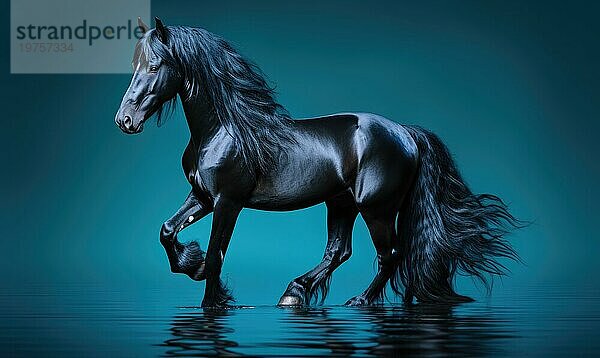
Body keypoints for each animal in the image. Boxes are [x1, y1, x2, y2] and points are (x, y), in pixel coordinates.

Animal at [115, 17, 516, 308]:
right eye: (135, 65)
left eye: (155, 67)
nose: (125, 121)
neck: (223, 131)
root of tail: (406, 133)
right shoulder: (202, 196)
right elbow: (167, 230)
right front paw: (192, 265)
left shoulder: (228, 202)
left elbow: (217, 253)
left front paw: (214, 302)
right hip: (341, 203)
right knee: (340, 251)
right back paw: (294, 293)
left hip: (377, 208)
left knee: (391, 254)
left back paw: (359, 301)